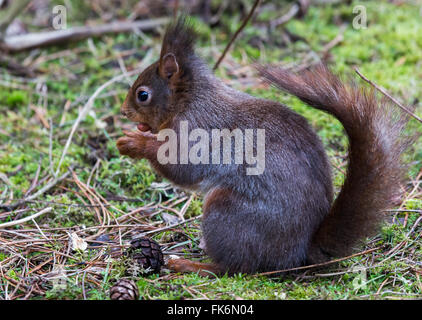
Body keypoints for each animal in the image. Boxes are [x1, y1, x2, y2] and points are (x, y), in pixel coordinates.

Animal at [115, 17, 408, 276]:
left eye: (143, 95)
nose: (123, 111)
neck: (188, 101)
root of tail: (298, 252)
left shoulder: (196, 130)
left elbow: (180, 166)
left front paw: (133, 143)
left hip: (227, 213)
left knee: (234, 268)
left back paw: (190, 265)